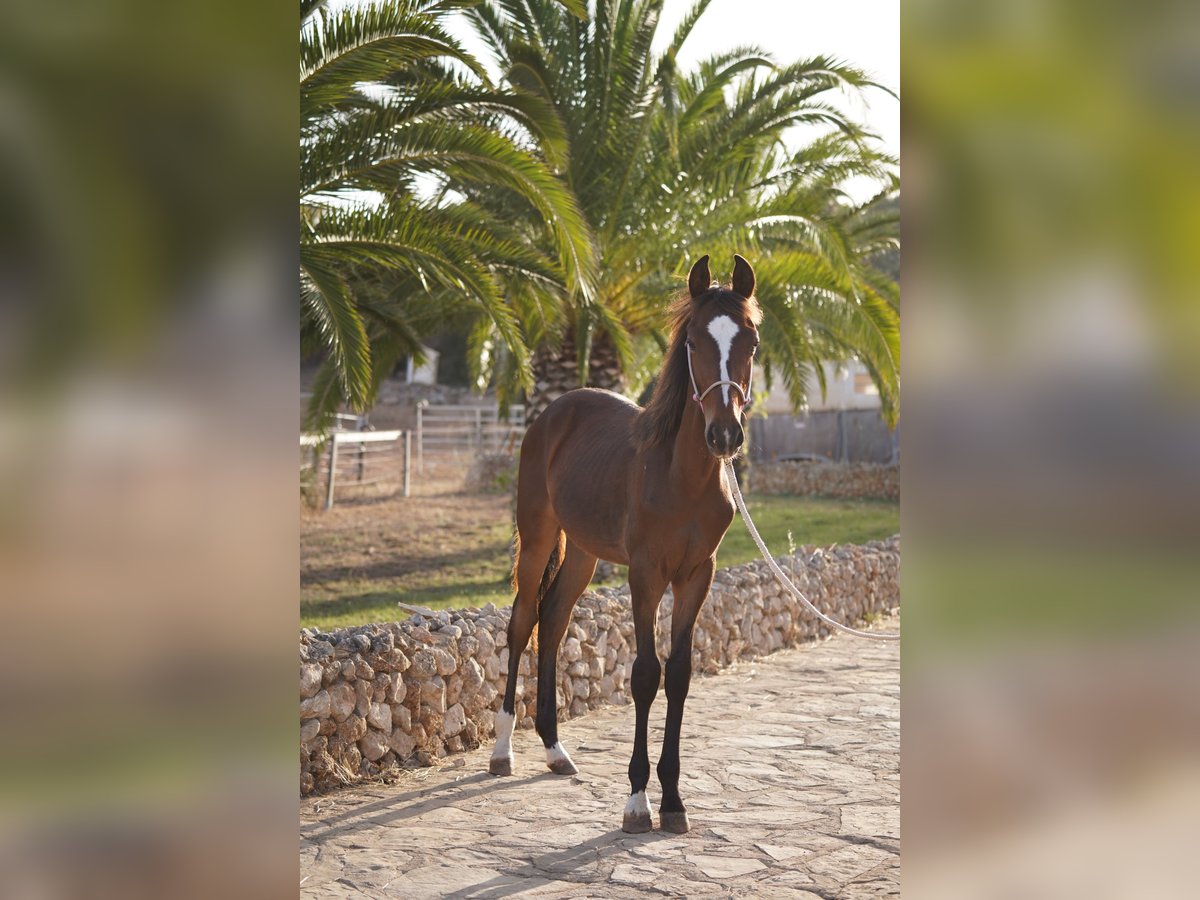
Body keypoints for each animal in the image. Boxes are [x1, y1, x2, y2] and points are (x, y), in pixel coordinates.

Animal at [487, 252, 758, 830]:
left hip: (584, 554)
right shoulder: (645, 573)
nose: (724, 435)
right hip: (539, 536)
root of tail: (553, 411)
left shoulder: (697, 574)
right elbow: (644, 674)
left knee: (553, 621)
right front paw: (637, 799)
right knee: (522, 622)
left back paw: (554, 749)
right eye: (693, 342)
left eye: (750, 340)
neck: (682, 477)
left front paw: (673, 802)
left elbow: (677, 675)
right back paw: (503, 751)